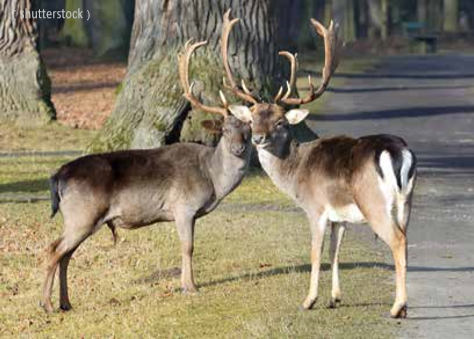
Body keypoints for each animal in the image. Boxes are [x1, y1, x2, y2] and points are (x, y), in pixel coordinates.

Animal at [40, 37, 254, 314]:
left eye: (249, 128)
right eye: (225, 131)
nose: (239, 148)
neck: (212, 179)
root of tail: (58, 176)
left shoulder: (191, 214)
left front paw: (186, 285)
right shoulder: (183, 206)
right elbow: (188, 247)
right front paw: (190, 287)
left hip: (79, 218)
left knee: (66, 254)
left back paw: (66, 303)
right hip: (82, 214)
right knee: (54, 249)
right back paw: (46, 304)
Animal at [220, 10, 416, 318]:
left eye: (280, 121)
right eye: (251, 119)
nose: (259, 138)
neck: (296, 173)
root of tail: (396, 151)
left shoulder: (315, 208)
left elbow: (315, 252)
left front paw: (309, 300)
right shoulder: (340, 217)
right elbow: (335, 250)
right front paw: (335, 298)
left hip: (373, 203)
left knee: (398, 241)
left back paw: (397, 307)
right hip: (406, 202)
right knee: (406, 241)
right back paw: (403, 306)